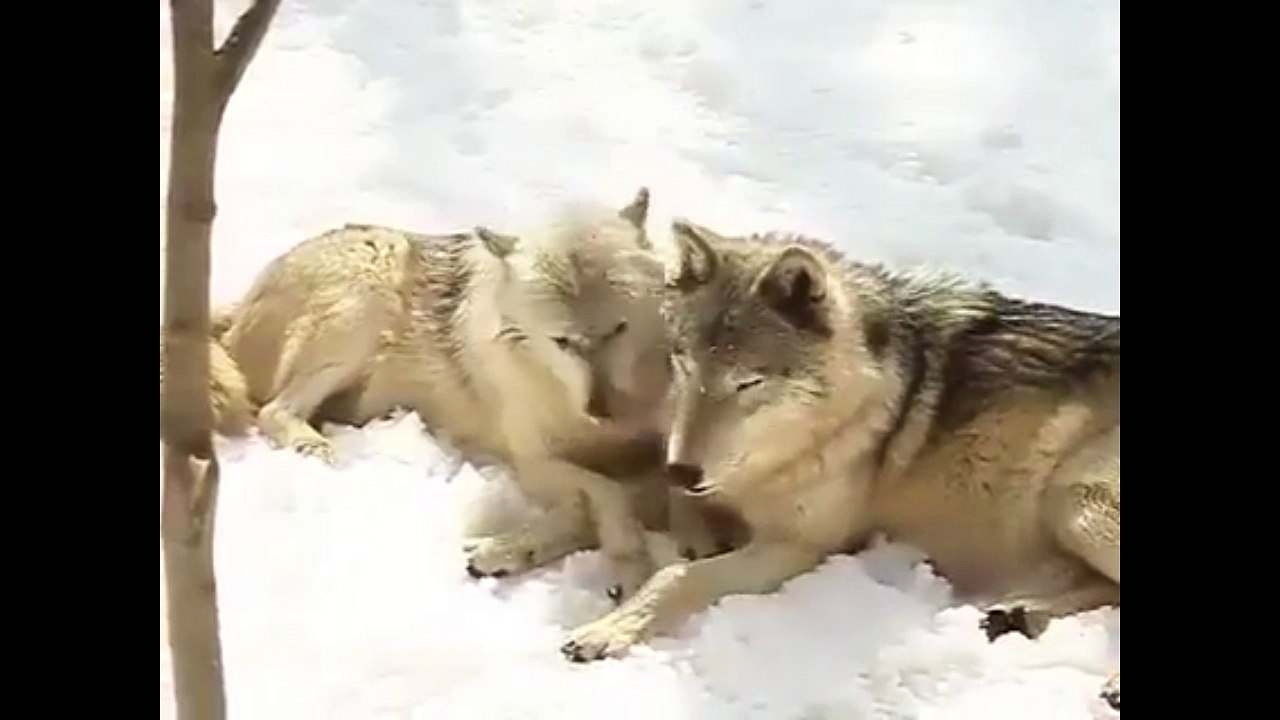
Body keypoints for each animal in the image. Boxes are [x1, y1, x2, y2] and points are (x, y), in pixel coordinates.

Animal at [158, 189, 720, 600]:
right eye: (562, 342)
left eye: (618, 330)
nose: (602, 410)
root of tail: (238, 304)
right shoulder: (533, 461)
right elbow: (605, 492)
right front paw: (626, 556)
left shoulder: (658, 445)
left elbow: (644, 488)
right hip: (366, 296)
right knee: (275, 411)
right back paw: (317, 447)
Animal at [560, 218, 1120, 711]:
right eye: (685, 364)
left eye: (748, 382)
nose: (682, 471)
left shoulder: (797, 547)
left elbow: (678, 576)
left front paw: (606, 630)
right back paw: (1020, 612)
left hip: (1075, 501)